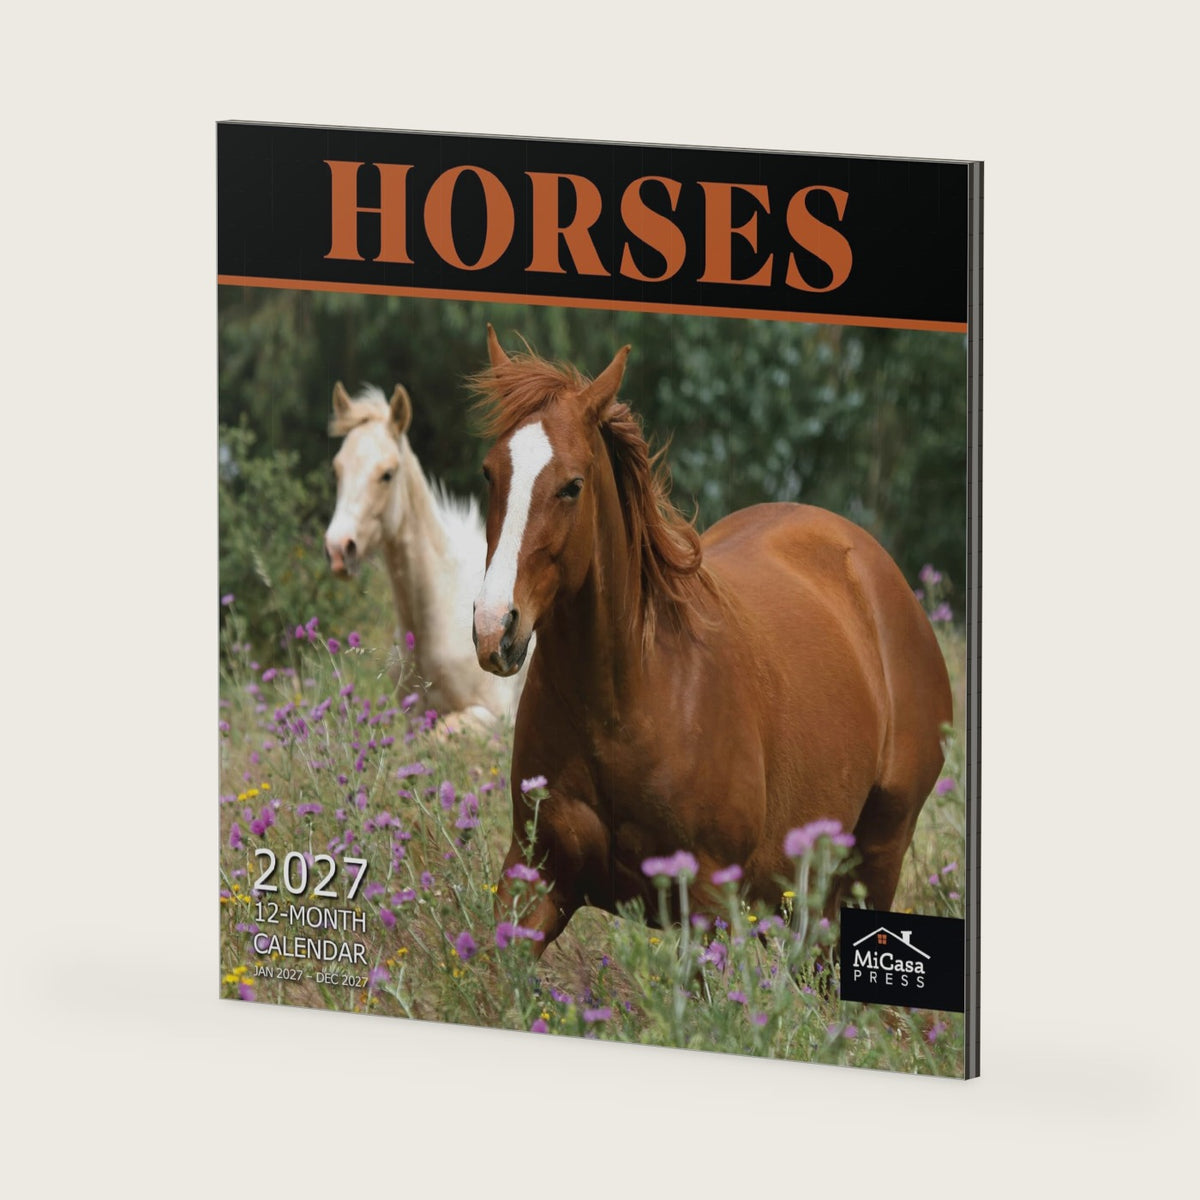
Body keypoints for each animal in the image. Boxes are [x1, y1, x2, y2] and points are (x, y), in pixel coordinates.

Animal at [472, 327, 952, 954]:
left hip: (871, 865)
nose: (493, 628)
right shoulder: (534, 879)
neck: (629, 700)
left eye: (572, 486)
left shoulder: (707, 907)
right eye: (490, 473)